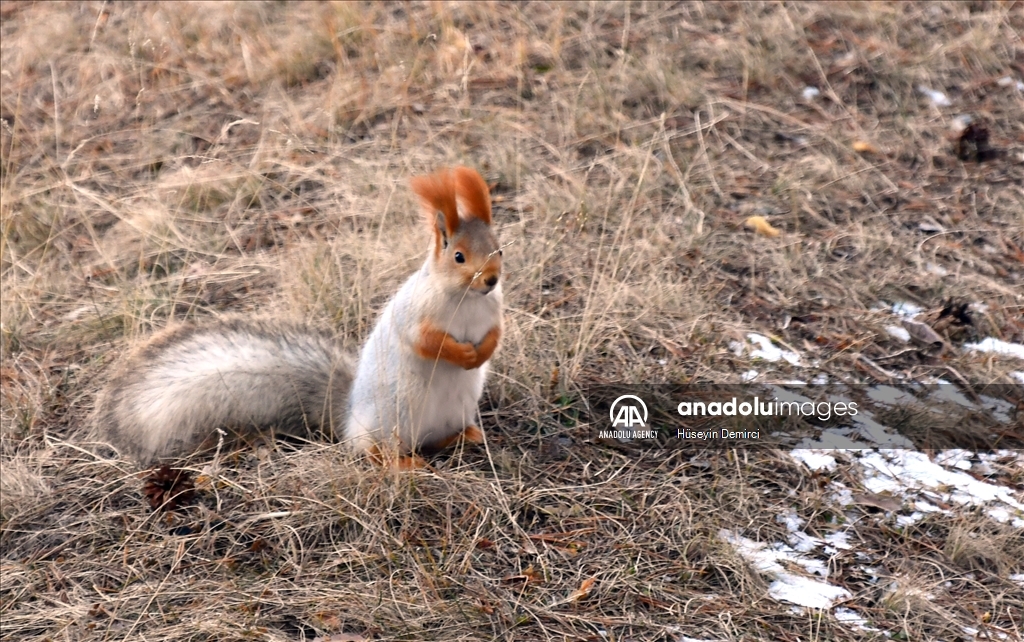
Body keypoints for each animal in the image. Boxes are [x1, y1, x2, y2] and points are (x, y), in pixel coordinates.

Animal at [92, 164, 499, 466]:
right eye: (458, 256)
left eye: (499, 249)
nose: (491, 280)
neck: (467, 298)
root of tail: (348, 416)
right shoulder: (413, 313)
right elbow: (425, 341)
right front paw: (461, 353)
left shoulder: (494, 311)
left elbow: (495, 333)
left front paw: (482, 352)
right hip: (392, 420)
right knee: (372, 450)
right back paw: (402, 463)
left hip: (451, 412)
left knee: (435, 440)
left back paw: (466, 436)